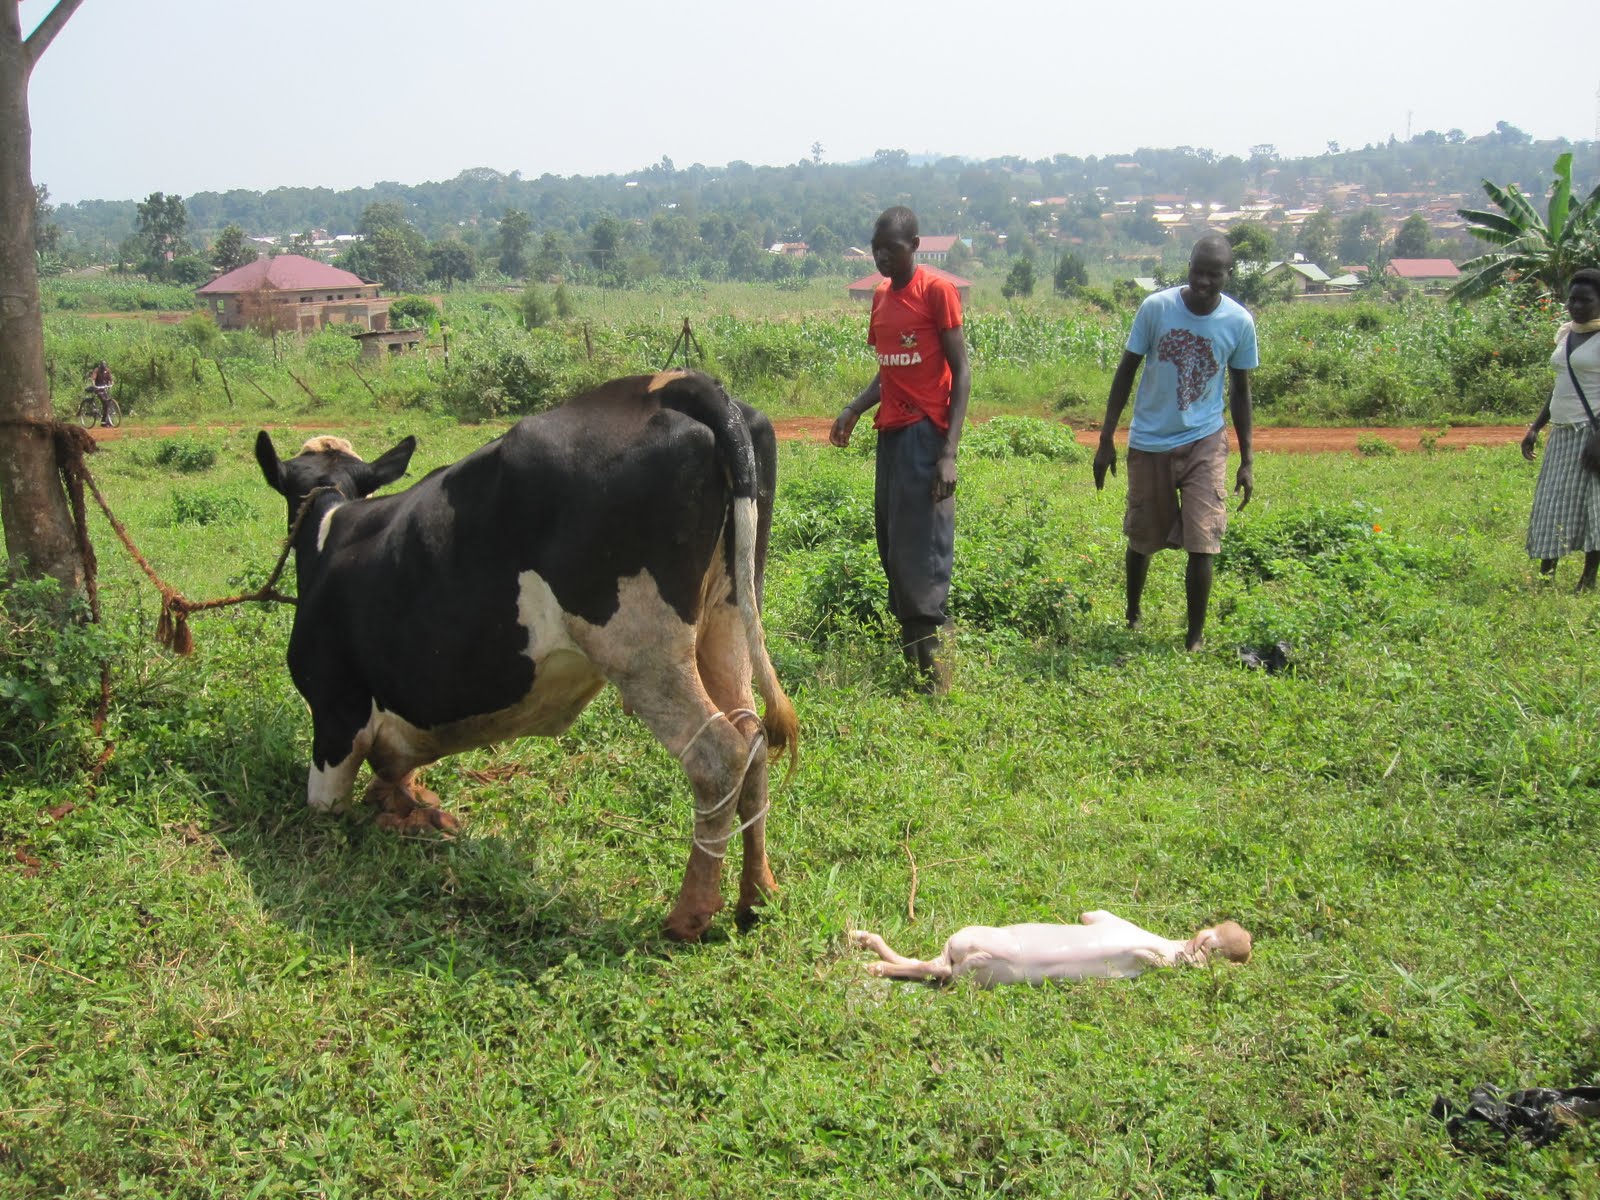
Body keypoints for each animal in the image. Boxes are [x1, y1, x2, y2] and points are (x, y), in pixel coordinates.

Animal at [254, 370, 798, 942]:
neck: (330, 526)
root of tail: (672, 384)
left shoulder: (336, 713)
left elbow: (327, 804)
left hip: (643, 652)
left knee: (718, 757)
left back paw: (687, 917)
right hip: (726, 618)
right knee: (753, 739)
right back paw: (756, 895)